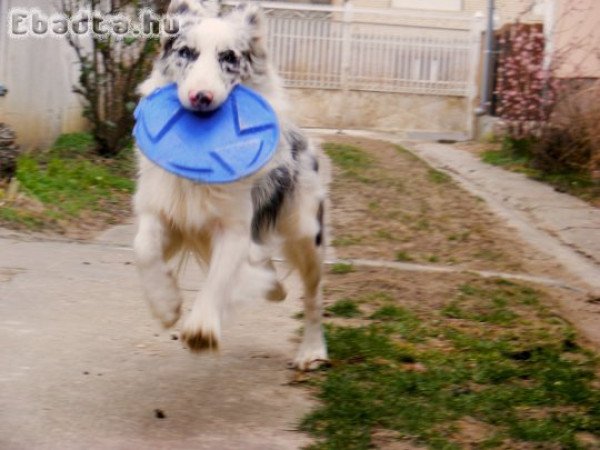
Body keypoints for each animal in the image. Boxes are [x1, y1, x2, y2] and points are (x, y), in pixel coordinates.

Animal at [134, 0, 328, 370]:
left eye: (229, 57)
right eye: (186, 52)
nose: (202, 97)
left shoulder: (236, 225)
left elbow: (221, 275)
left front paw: (201, 328)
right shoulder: (165, 211)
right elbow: (144, 249)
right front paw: (165, 306)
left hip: (306, 231)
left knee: (313, 295)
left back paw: (311, 350)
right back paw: (272, 287)